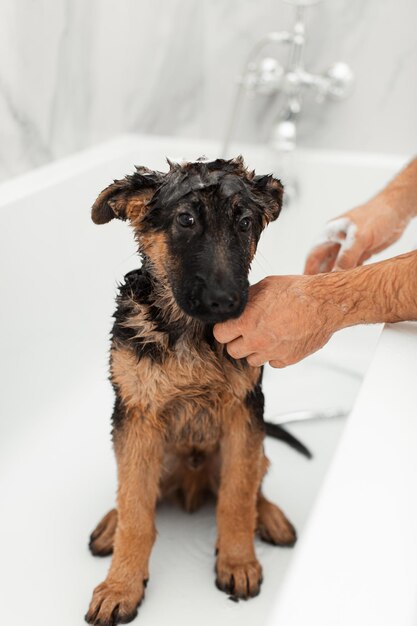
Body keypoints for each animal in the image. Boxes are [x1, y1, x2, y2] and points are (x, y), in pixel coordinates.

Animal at [85, 157, 308, 624]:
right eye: (186, 220)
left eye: (245, 222)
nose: (226, 303)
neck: (189, 333)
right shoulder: (137, 413)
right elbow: (136, 510)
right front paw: (121, 586)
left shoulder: (244, 413)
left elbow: (237, 497)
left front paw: (238, 561)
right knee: (130, 489)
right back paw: (111, 524)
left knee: (256, 476)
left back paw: (270, 516)